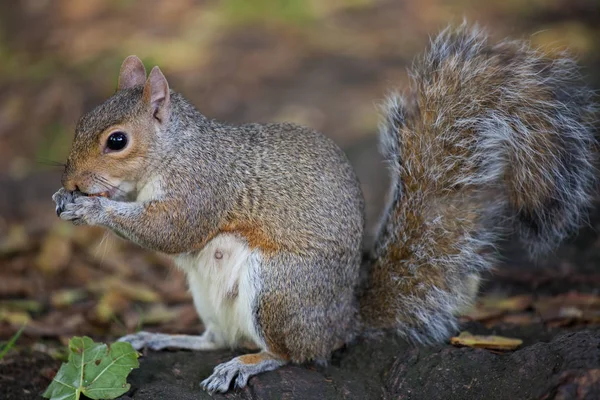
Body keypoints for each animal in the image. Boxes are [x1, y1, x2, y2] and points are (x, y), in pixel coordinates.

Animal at [51, 25, 596, 394]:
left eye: (116, 140)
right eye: (79, 122)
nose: (71, 181)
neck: (174, 150)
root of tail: (343, 319)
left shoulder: (206, 187)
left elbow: (173, 231)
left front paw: (94, 210)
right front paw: (70, 200)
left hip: (280, 290)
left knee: (295, 353)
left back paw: (248, 364)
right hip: (209, 296)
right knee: (217, 337)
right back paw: (166, 339)